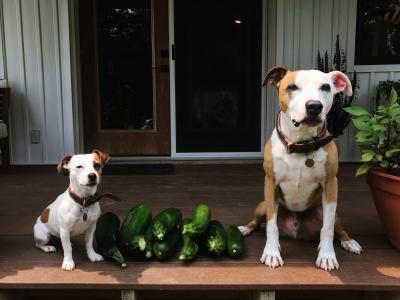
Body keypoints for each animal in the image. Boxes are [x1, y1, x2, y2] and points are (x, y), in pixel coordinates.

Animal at [239, 67, 364, 270]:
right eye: (292, 87)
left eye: (325, 87)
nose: (314, 106)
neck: (301, 143)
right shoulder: (271, 183)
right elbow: (271, 226)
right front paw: (272, 253)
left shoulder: (331, 184)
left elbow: (327, 228)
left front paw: (327, 255)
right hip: (262, 205)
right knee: (258, 222)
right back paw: (244, 228)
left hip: (332, 212)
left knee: (338, 229)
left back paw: (349, 242)